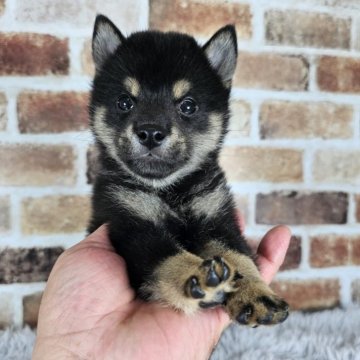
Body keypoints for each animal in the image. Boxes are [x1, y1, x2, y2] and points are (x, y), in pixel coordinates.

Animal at [88, 14, 290, 326]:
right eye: (124, 102)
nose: (150, 132)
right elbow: (165, 257)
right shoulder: (129, 223)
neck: (171, 191)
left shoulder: (217, 219)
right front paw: (195, 276)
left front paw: (256, 293)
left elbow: (238, 256)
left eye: (188, 106)